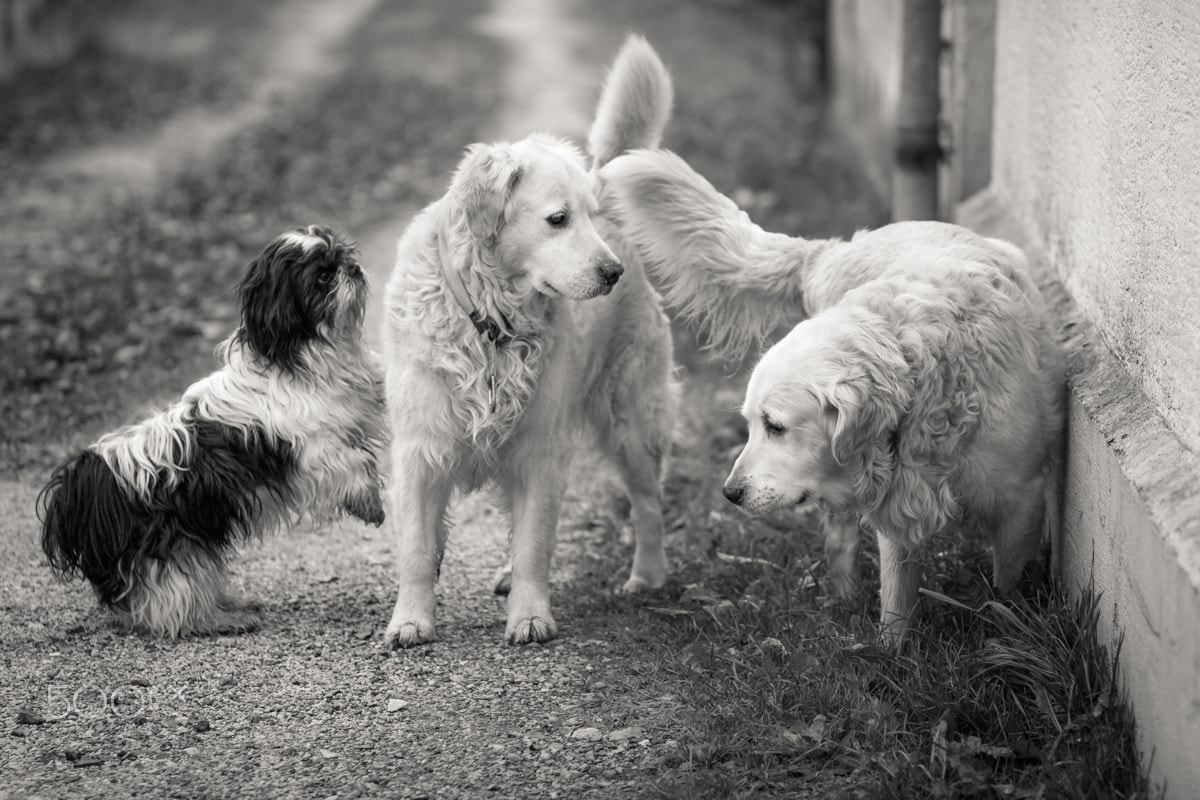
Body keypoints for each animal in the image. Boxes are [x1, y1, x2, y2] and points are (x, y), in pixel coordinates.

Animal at [39, 225, 386, 638]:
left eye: (343, 254)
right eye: (322, 275)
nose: (353, 268)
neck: (299, 355)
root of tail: (101, 476)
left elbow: (363, 451)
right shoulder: (311, 450)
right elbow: (355, 464)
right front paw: (369, 504)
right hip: (172, 550)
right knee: (172, 609)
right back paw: (221, 620)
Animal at [379, 38, 681, 652]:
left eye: (588, 218)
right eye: (558, 219)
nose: (612, 272)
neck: (488, 321)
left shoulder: (542, 448)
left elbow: (535, 545)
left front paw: (530, 615)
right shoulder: (419, 450)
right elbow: (418, 549)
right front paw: (411, 621)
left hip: (632, 418)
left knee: (647, 504)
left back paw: (648, 576)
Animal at [604, 149, 1065, 642]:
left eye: (775, 426)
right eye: (749, 425)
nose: (729, 493)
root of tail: (832, 249)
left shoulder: (1020, 499)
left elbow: (1007, 586)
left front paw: (1007, 628)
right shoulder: (894, 496)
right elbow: (897, 592)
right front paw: (889, 651)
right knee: (839, 535)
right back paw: (843, 600)